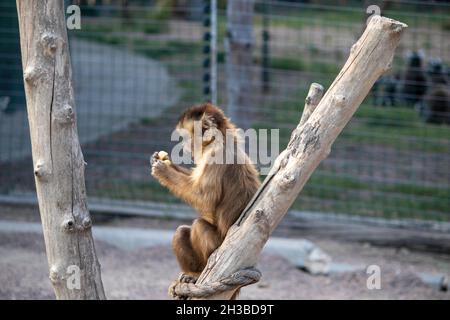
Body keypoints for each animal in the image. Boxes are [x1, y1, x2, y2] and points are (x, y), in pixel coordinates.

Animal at [150, 103, 260, 292]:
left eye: (186, 138)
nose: (185, 147)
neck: (222, 140)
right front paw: (162, 161)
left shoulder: (215, 155)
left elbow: (204, 199)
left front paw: (163, 170)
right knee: (181, 232)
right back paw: (193, 273)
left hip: (219, 248)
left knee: (199, 225)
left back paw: (197, 275)